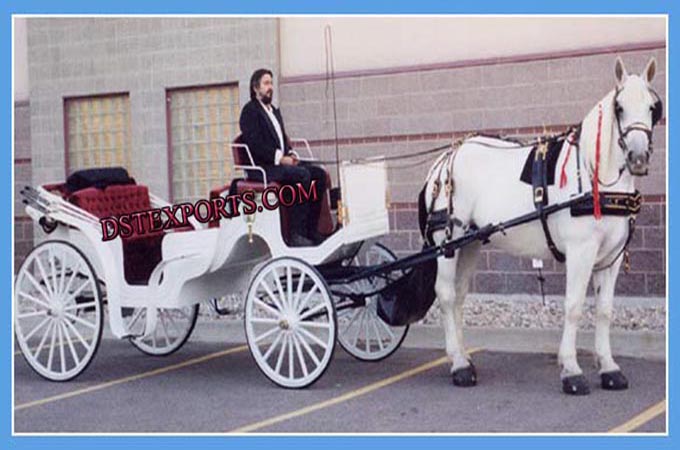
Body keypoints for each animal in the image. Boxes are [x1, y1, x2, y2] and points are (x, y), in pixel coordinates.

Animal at [428, 57, 660, 394]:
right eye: (619, 107)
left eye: (653, 107)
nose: (638, 158)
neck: (594, 177)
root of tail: (445, 160)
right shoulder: (581, 251)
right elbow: (574, 306)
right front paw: (572, 371)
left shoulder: (611, 258)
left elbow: (604, 310)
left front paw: (609, 368)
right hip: (446, 242)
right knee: (445, 294)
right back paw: (458, 365)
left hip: (469, 244)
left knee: (458, 296)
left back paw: (464, 359)